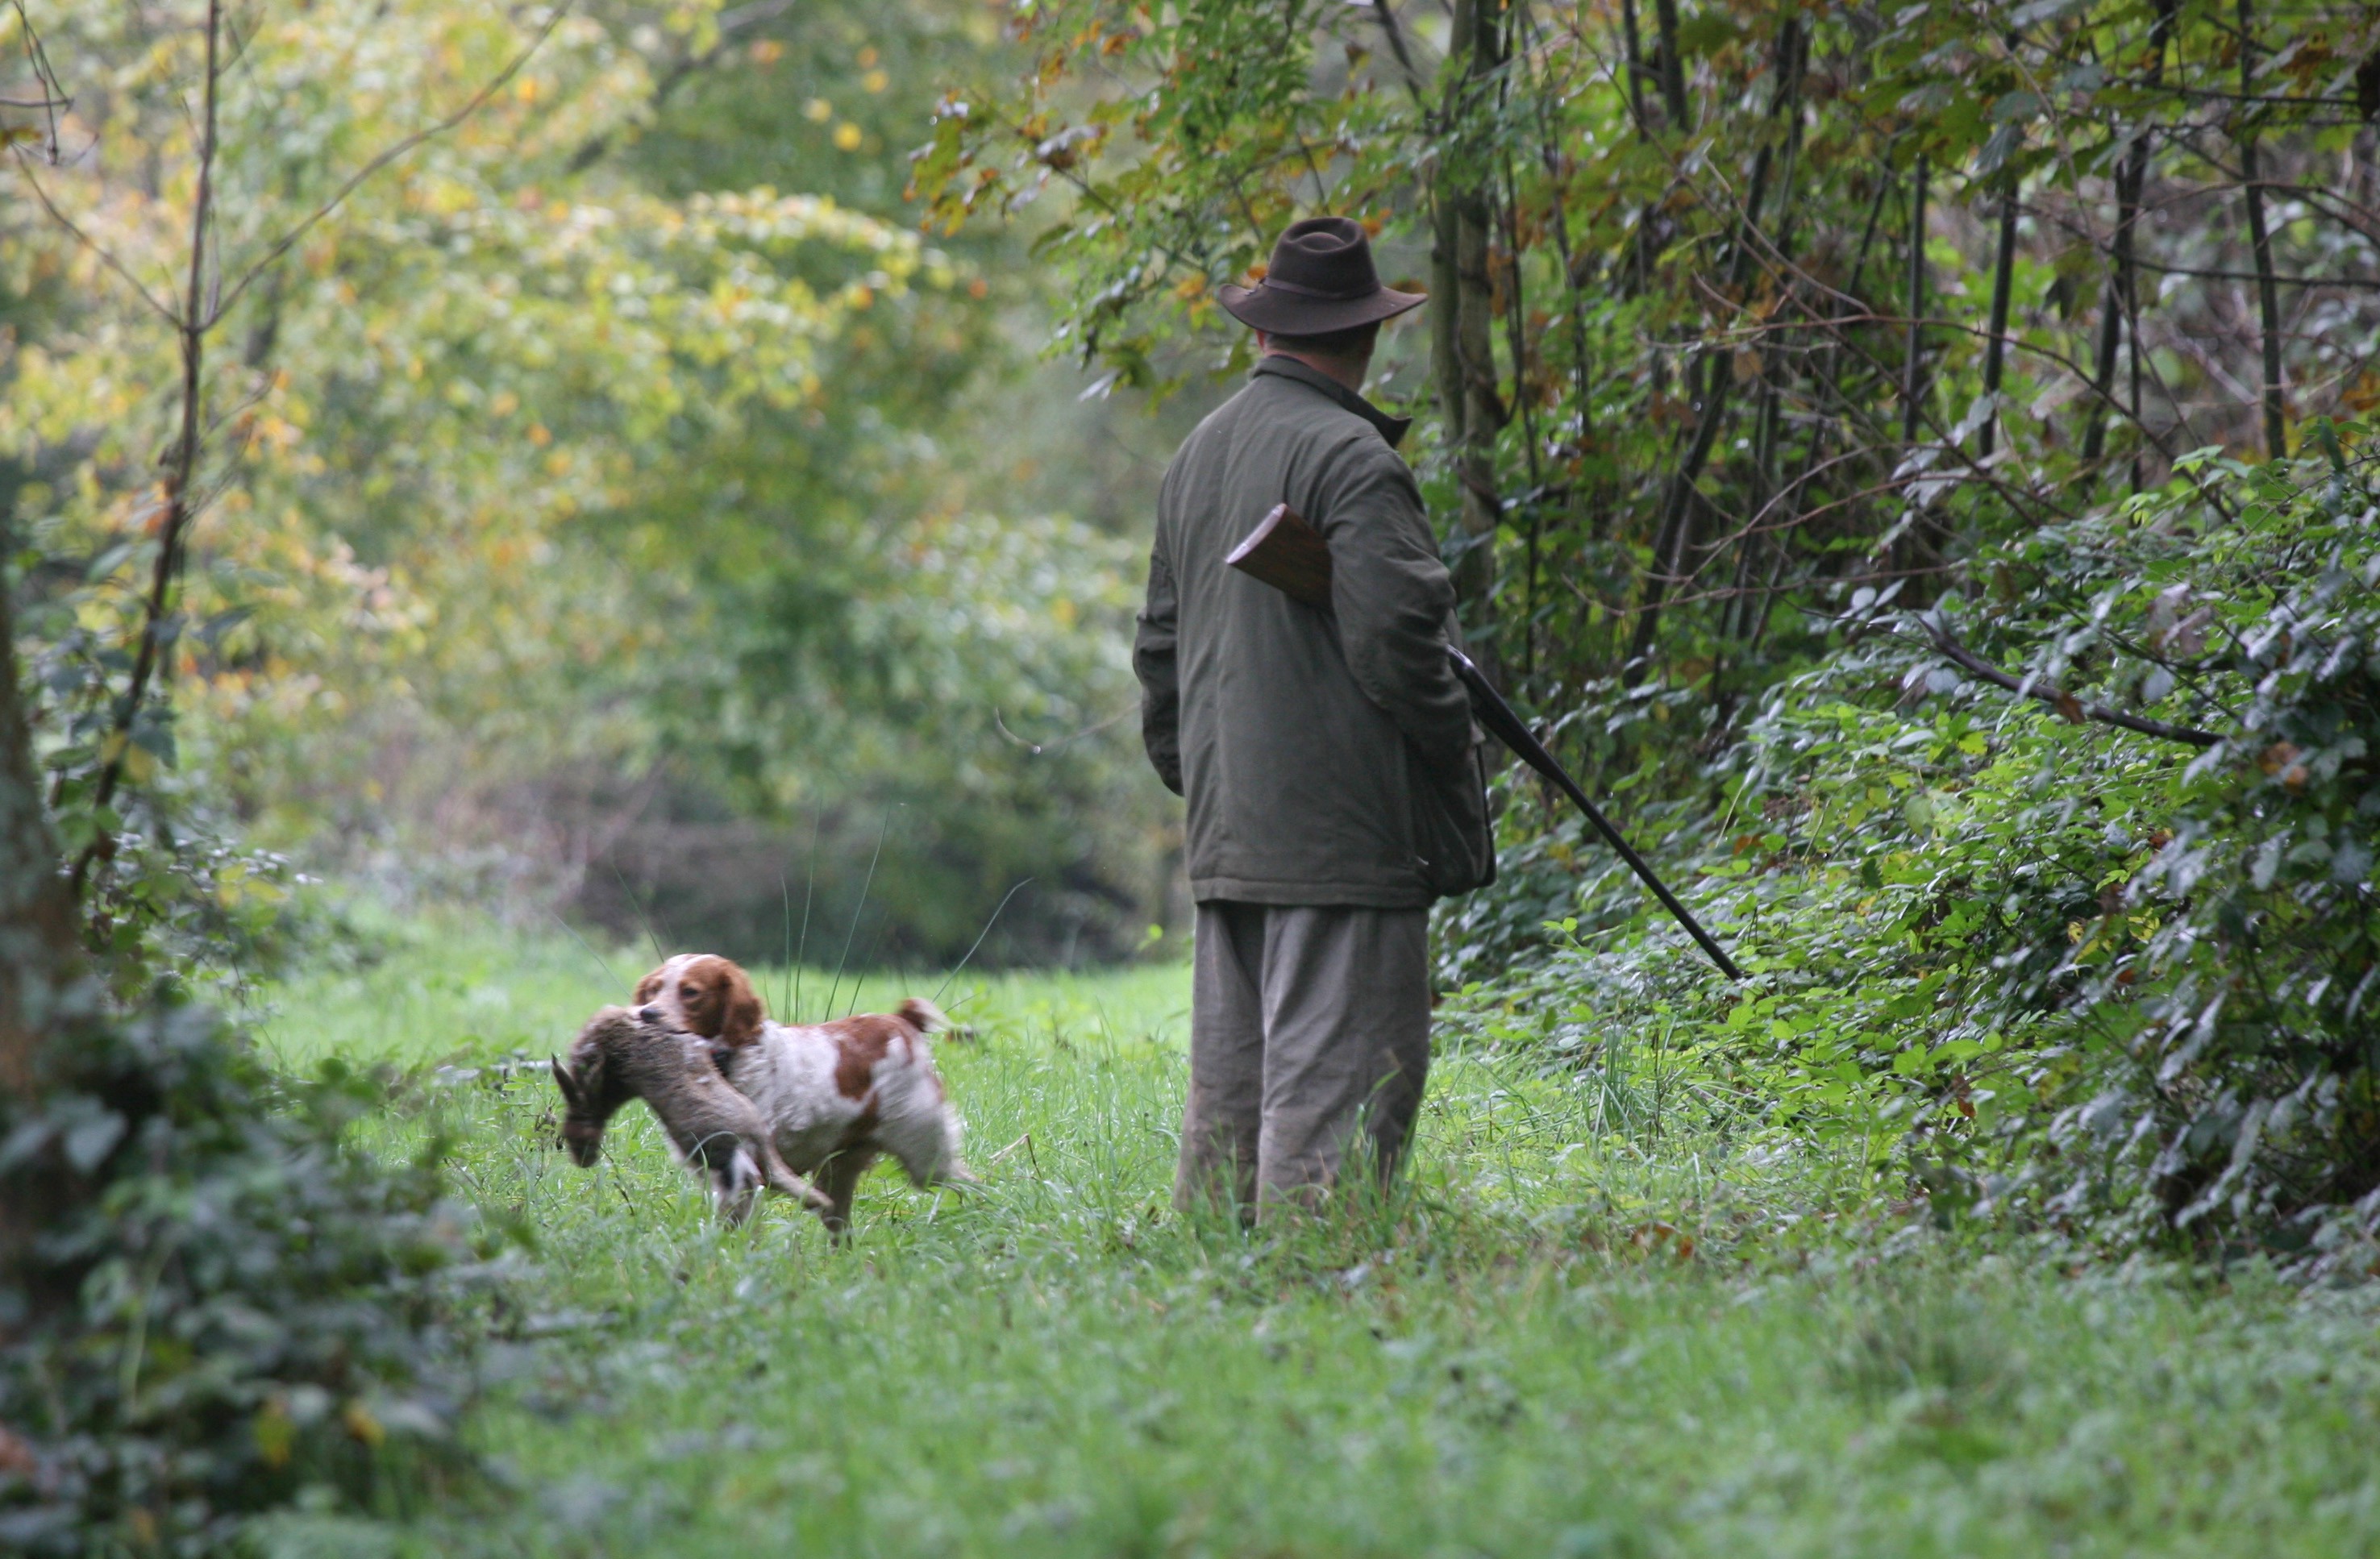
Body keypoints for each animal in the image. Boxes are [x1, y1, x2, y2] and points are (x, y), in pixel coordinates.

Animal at [638, 952, 971, 1228]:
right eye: (653, 990)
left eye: (690, 992)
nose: (647, 1013)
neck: (728, 1064)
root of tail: (900, 1023)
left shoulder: (751, 1173)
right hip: (837, 1175)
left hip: (927, 1158)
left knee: (971, 1182)